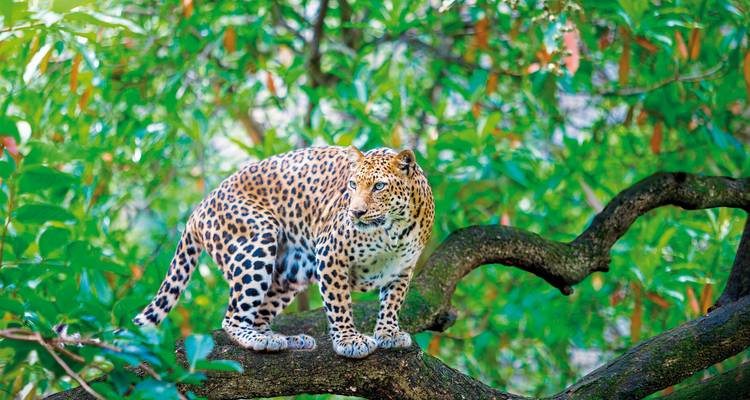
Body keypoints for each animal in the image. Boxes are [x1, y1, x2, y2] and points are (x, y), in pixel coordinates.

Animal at [133, 146, 434, 358]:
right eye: (352, 185)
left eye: (379, 186)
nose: (356, 212)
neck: (394, 230)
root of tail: (200, 207)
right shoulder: (330, 254)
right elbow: (339, 303)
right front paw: (349, 340)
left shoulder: (402, 268)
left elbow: (392, 302)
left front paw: (389, 333)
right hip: (257, 243)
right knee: (233, 318)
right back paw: (260, 339)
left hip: (289, 273)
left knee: (258, 315)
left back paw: (286, 340)